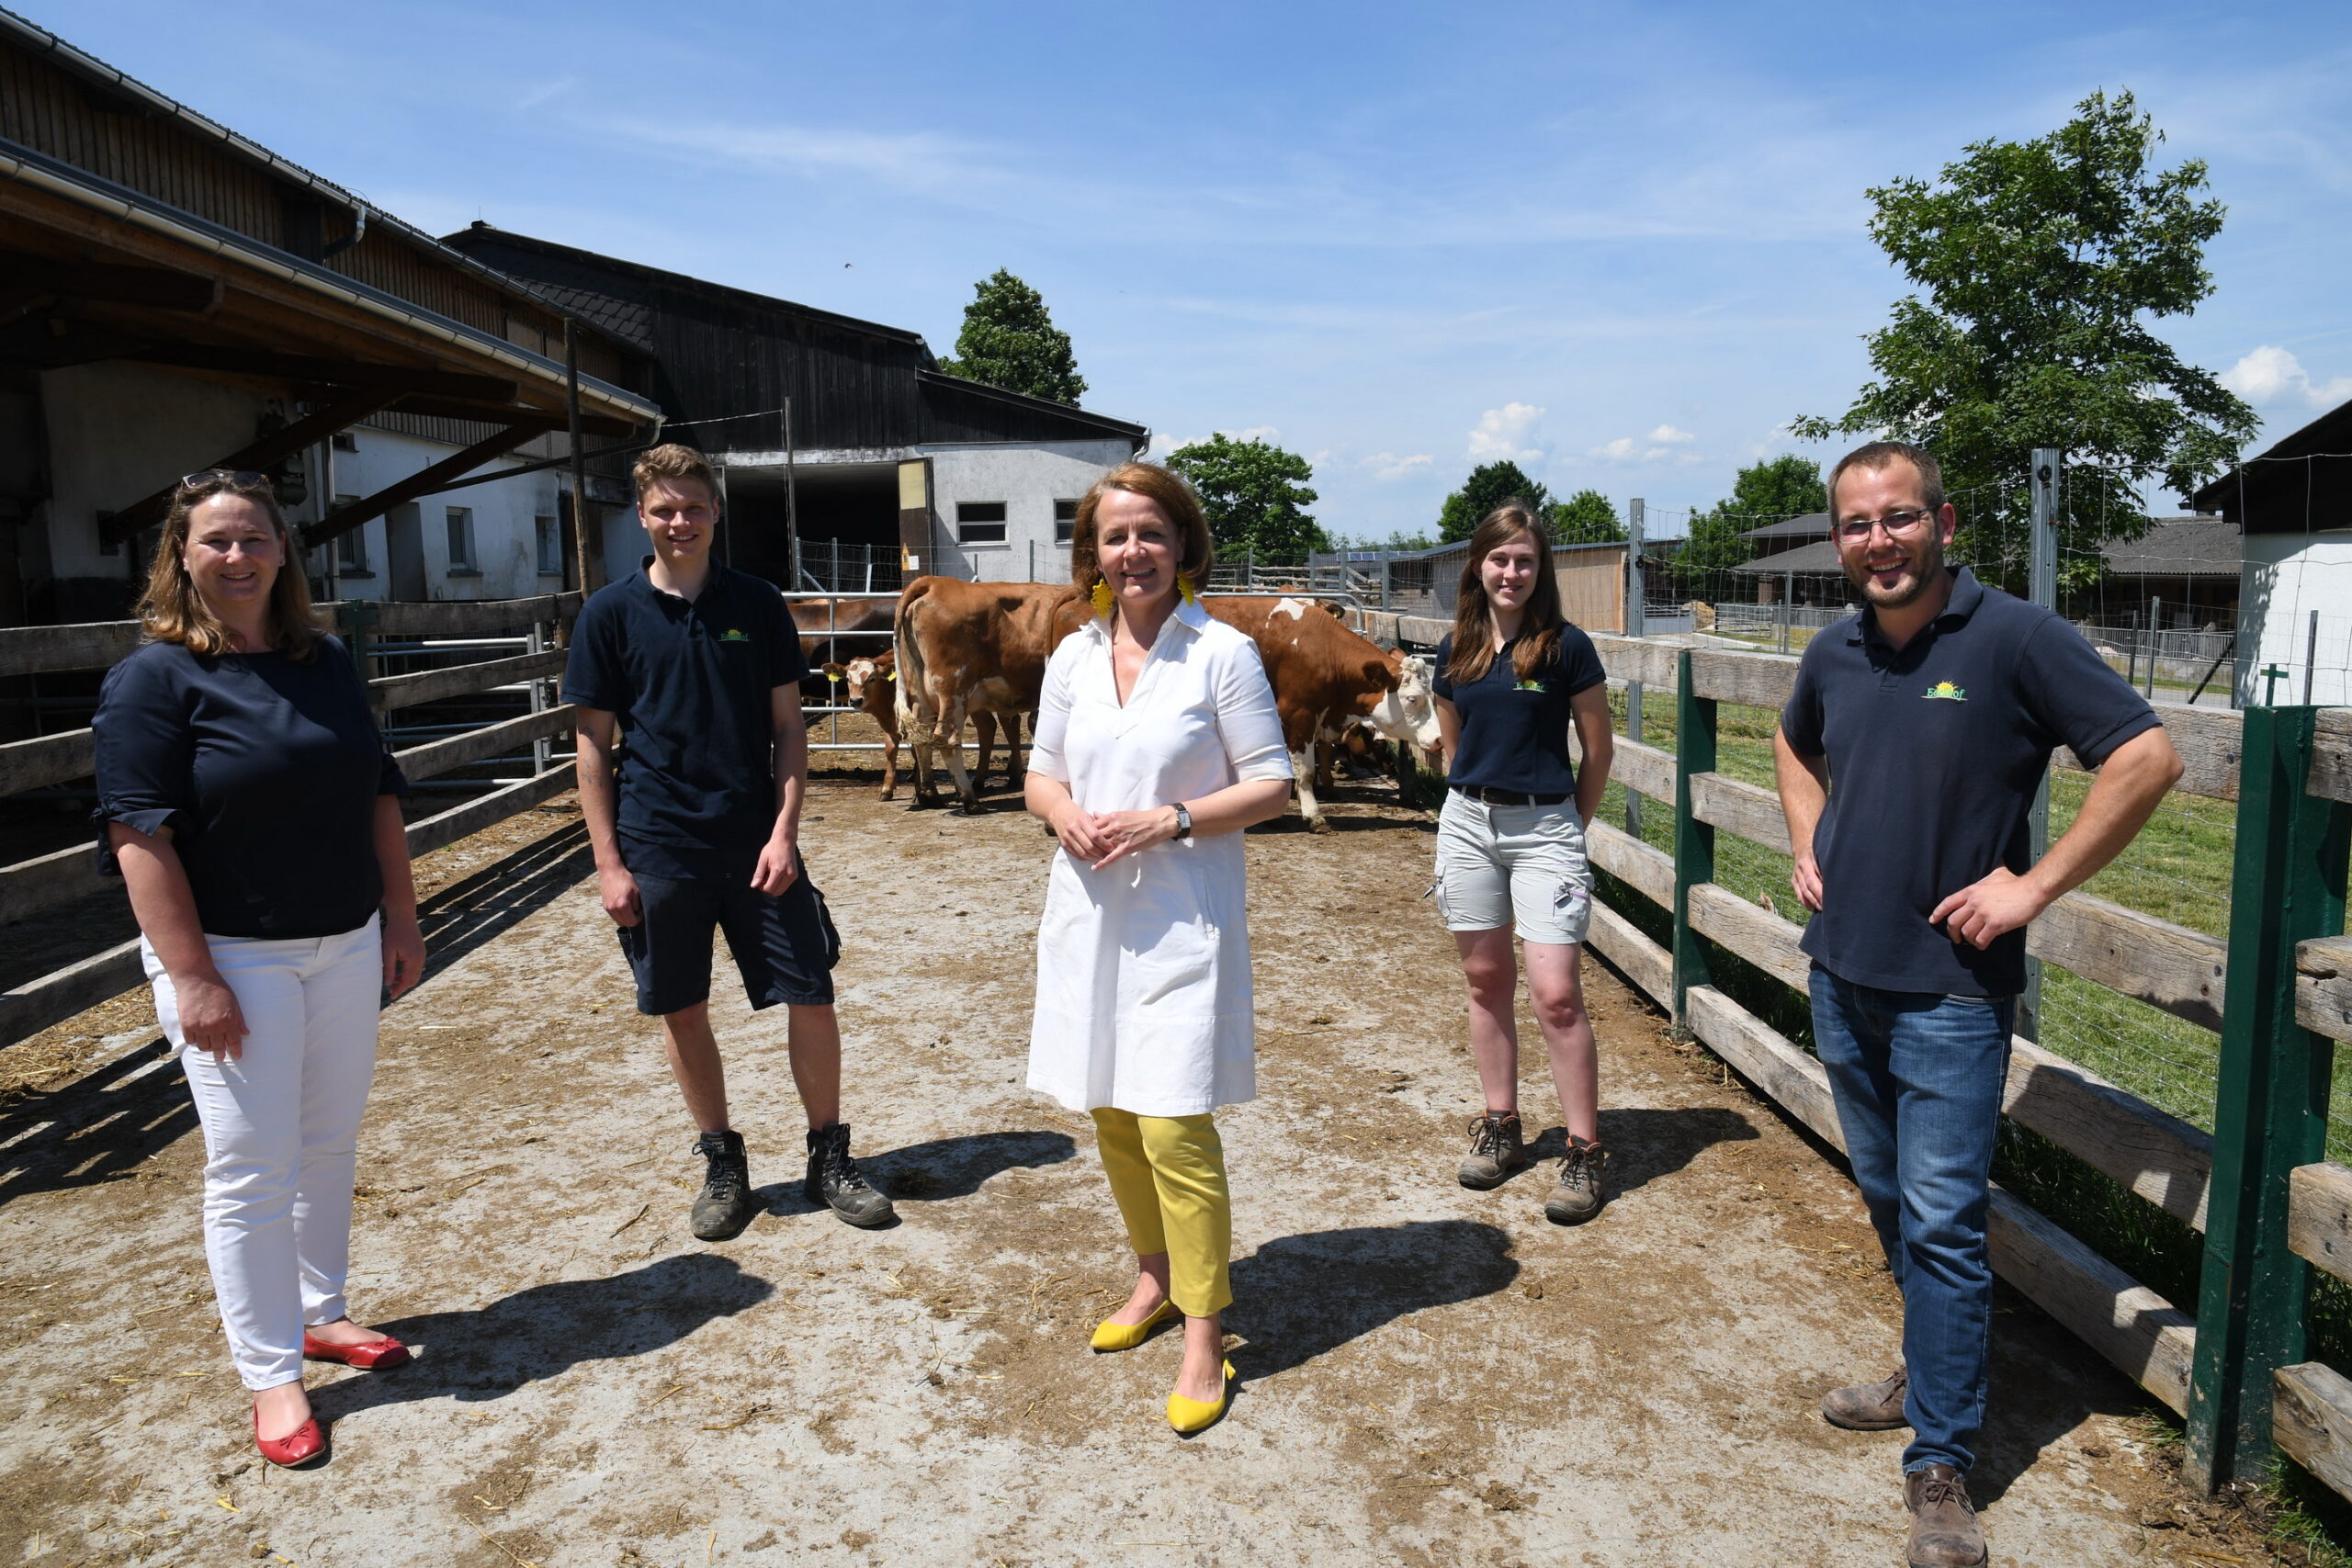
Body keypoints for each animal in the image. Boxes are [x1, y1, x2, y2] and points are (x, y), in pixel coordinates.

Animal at [888, 582, 1091, 818]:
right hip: (954, 691)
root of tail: (935, 582)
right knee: (947, 740)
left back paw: (930, 795)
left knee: (923, 738)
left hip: (921, 693)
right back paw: (970, 799)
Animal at [1204, 592, 1439, 831]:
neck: (1322, 650)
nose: (1439, 739)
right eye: (1412, 699)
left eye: (1432, 696)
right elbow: (1305, 772)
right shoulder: (1297, 715)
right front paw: (1313, 816)